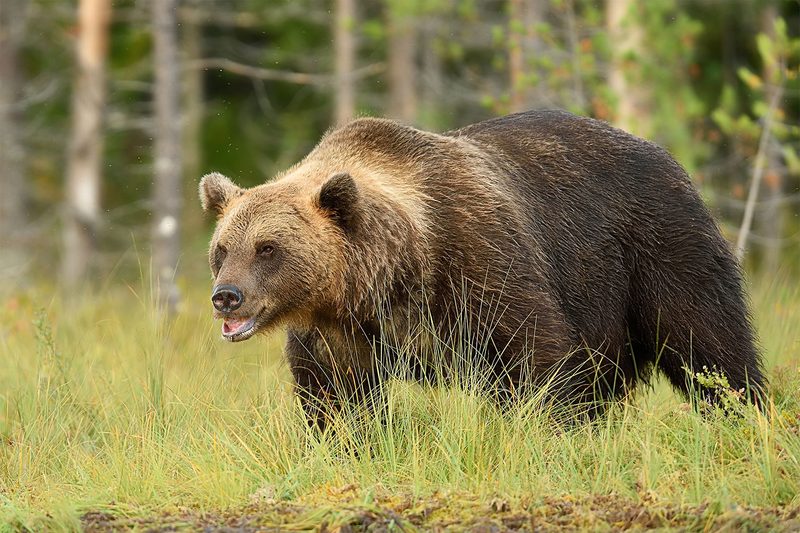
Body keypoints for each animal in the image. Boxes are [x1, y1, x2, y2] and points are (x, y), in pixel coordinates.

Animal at [200, 110, 764, 426]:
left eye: (268, 248)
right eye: (223, 248)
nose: (226, 296)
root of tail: (663, 154)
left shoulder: (477, 258)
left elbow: (537, 355)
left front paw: (545, 430)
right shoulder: (337, 327)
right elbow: (337, 395)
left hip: (654, 245)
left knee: (707, 339)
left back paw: (743, 414)